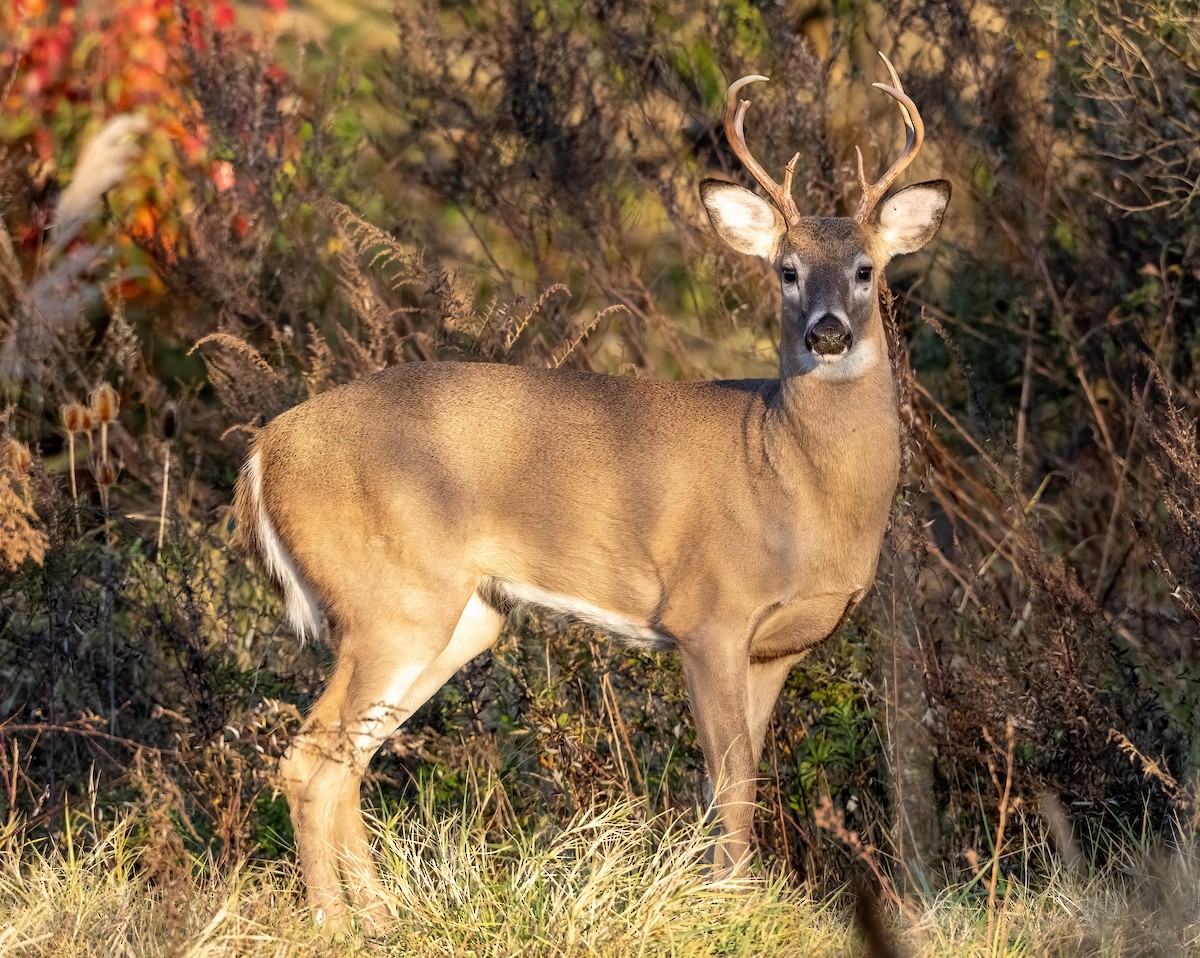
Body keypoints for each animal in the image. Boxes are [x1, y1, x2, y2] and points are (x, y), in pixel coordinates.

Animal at [232, 54, 950, 928]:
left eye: (865, 269)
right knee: (310, 756)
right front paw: (725, 906)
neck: (793, 476)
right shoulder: (708, 614)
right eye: (786, 271)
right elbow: (731, 777)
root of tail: (266, 449)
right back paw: (339, 922)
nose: (828, 333)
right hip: (388, 597)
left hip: (463, 615)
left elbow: (743, 775)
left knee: (347, 757)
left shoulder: (780, 645)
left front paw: (727, 896)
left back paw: (380, 917)